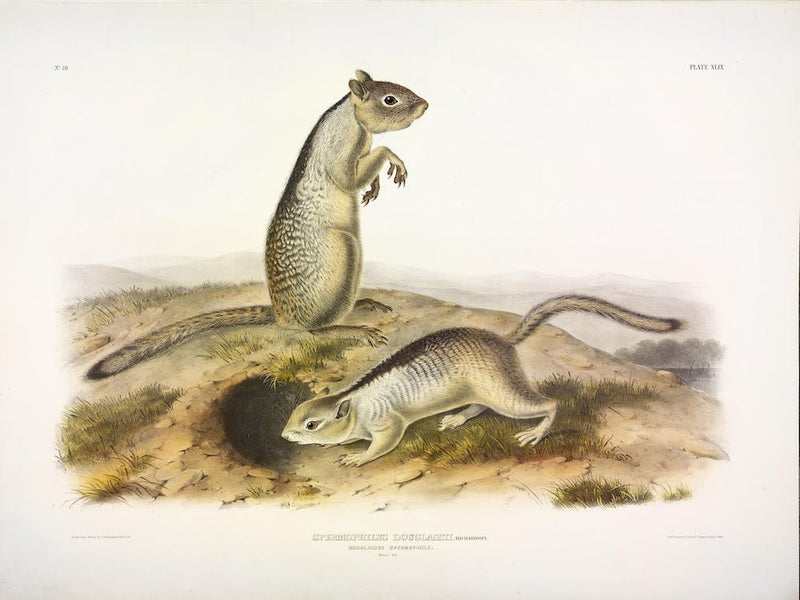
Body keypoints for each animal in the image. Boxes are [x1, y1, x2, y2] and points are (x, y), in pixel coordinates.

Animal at [87, 70, 428, 379]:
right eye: (390, 99)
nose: (425, 105)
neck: (351, 118)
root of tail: (279, 317)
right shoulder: (342, 149)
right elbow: (358, 170)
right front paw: (391, 162)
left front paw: (376, 185)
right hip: (346, 252)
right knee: (312, 332)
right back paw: (352, 329)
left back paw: (365, 303)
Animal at [281, 295, 683, 466]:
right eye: (294, 416)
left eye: (311, 424)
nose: (284, 435)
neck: (353, 400)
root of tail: (503, 341)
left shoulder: (388, 423)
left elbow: (383, 444)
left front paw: (357, 457)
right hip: (481, 389)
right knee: (476, 406)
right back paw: (456, 418)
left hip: (504, 393)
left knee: (550, 404)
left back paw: (536, 432)